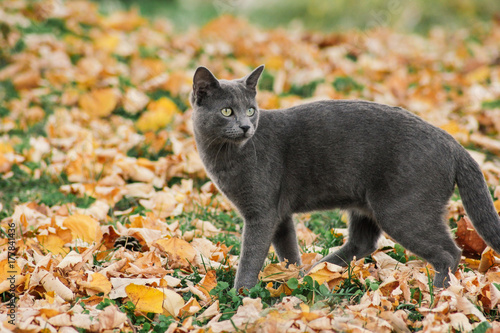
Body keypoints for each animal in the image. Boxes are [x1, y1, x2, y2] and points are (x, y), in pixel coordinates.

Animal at [188, 65, 500, 288]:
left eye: (251, 110)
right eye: (227, 111)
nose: (245, 126)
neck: (224, 156)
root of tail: (454, 144)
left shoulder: (261, 212)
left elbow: (251, 255)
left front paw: (240, 294)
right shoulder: (279, 213)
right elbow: (287, 250)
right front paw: (291, 279)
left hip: (401, 209)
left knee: (449, 252)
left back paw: (440, 294)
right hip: (367, 204)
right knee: (364, 242)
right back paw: (315, 273)